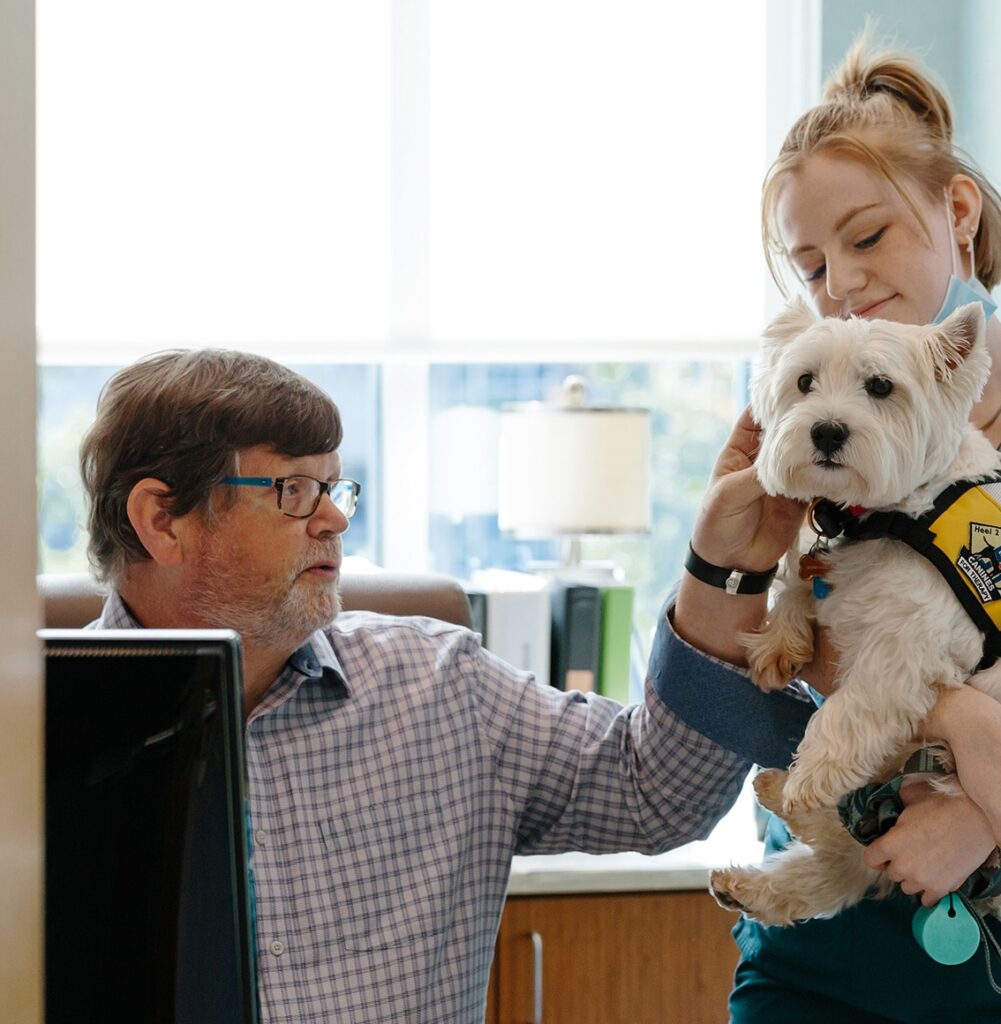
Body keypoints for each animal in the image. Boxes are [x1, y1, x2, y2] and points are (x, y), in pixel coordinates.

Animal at [708, 299, 998, 929]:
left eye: (881, 386)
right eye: (804, 382)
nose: (826, 430)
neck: (894, 514)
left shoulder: (908, 645)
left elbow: (850, 707)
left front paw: (814, 773)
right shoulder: (835, 570)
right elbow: (801, 580)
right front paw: (781, 643)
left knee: (856, 852)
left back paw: (791, 796)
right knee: (846, 864)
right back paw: (751, 874)